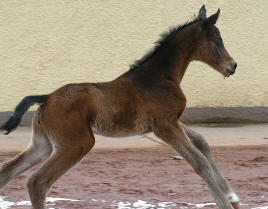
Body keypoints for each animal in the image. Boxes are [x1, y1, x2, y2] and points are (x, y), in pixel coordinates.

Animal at [0, 5, 239, 209]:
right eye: (218, 41)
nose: (233, 66)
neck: (159, 77)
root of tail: (47, 97)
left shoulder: (168, 122)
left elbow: (201, 141)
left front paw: (232, 197)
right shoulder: (165, 126)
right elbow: (199, 162)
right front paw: (225, 202)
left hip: (43, 144)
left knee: (7, 171)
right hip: (76, 144)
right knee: (37, 182)